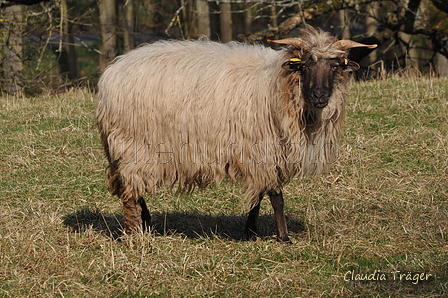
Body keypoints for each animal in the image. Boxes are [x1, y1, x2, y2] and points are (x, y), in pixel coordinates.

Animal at [96, 26, 376, 242]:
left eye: (336, 66)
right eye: (305, 65)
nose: (320, 96)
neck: (279, 83)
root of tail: (111, 74)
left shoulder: (263, 153)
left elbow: (260, 194)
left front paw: (251, 230)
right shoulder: (264, 148)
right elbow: (276, 196)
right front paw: (283, 237)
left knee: (133, 189)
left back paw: (146, 222)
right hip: (134, 144)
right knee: (130, 192)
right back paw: (134, 234)